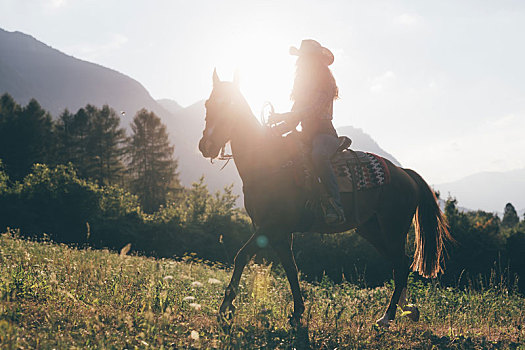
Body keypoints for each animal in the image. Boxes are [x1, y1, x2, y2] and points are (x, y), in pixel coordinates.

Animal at [196, 69, 450, 328]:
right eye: (208, 104)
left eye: (230, 106)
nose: (206, 145)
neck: (269, 162)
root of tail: (404, 173)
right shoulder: (278, 233)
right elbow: (291, 268)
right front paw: (297, 312)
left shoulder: (271, 227)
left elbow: (241, 256)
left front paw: (226, 308)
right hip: (371, 229)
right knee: (398, 264)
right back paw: (407, 309)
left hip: (393, 228)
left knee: (400, 264)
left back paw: (387, 316)